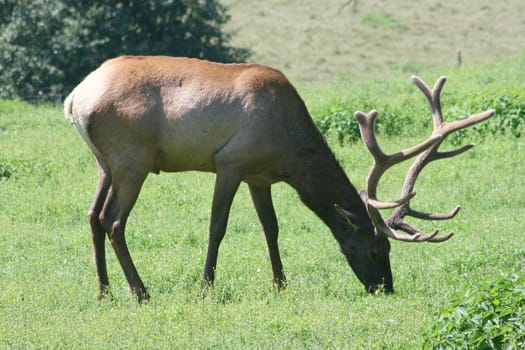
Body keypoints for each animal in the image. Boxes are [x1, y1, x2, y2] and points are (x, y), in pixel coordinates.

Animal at [63, 55, 494, 300]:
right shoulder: (230, 161)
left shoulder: (260, 176)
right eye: (376, 250)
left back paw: (104, 291)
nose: (384, 287)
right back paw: (141, 292)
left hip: (105, 163)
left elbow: (271, 227)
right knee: (113, 220)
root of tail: (74, 99)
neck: (288, 150)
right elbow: (217, 227)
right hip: (131, 159)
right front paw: (205, 288)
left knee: (92, 216)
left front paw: (280, 284)